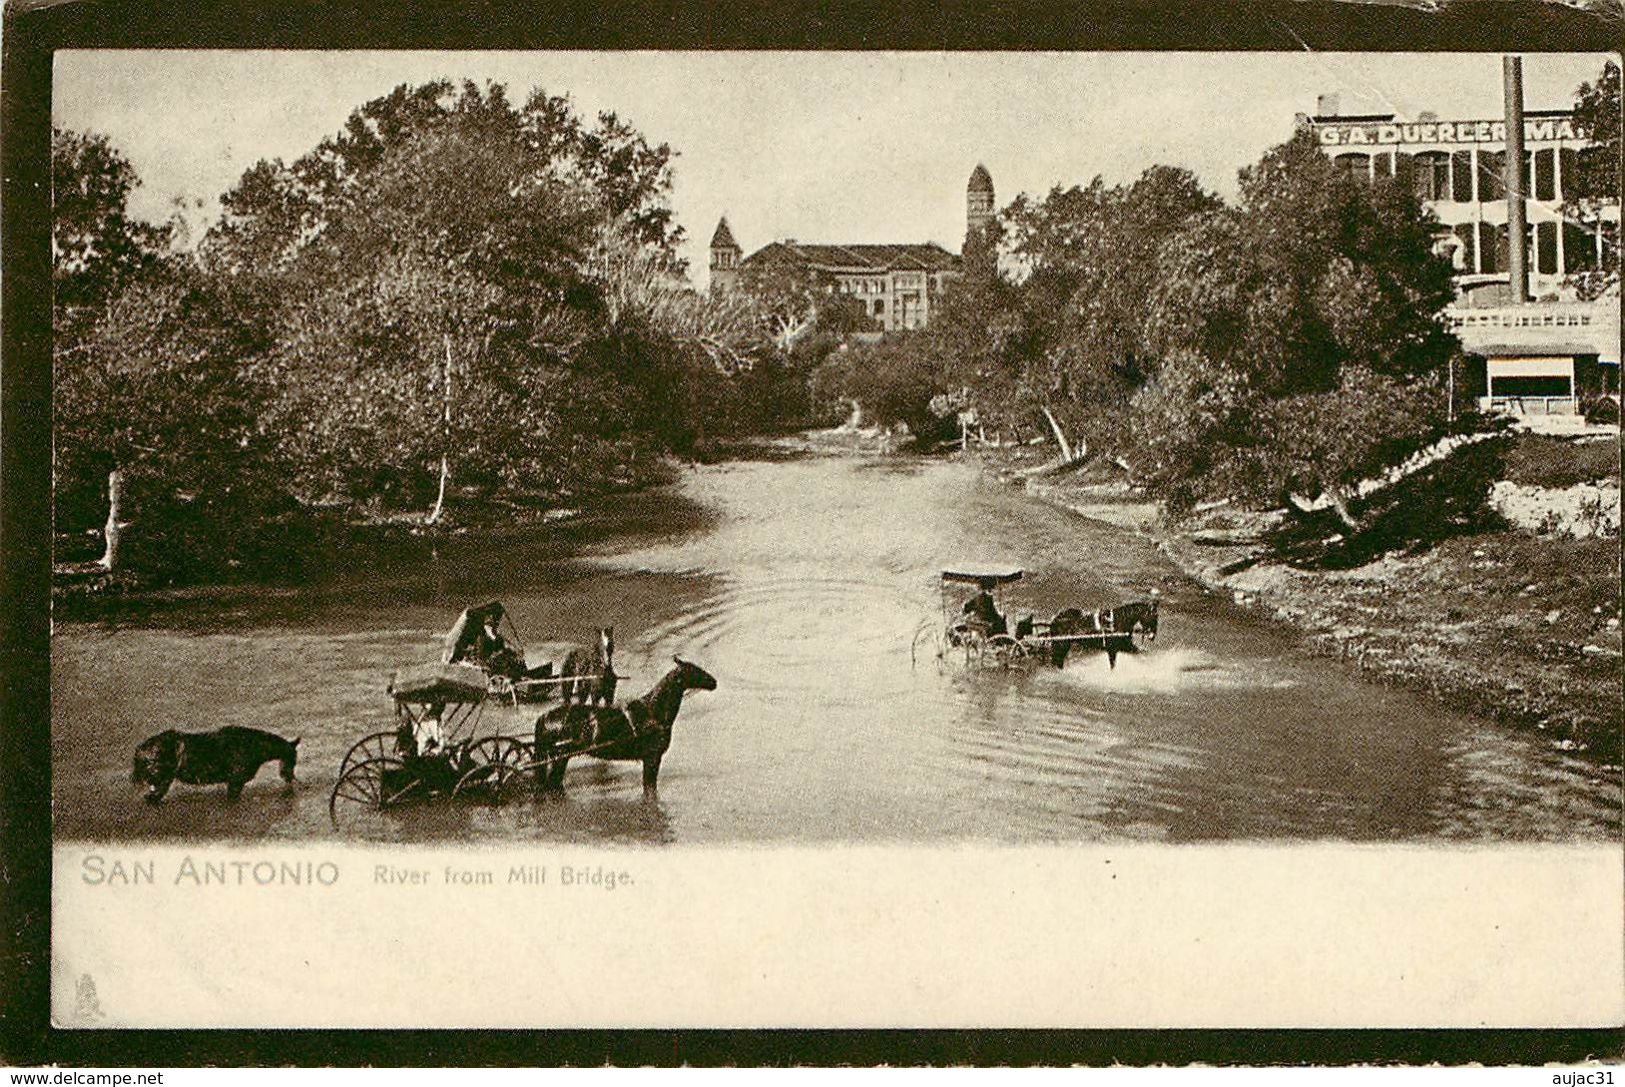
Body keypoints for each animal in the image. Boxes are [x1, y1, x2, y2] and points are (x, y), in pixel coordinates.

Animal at [533, 656, 718, 792]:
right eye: (695, 670)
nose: (714, 682)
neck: (653, 710)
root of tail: (545, 717)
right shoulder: (652, 757)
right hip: (559, 757)